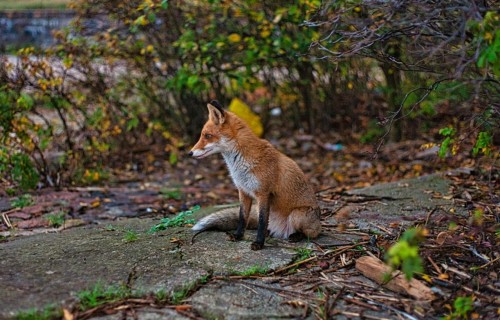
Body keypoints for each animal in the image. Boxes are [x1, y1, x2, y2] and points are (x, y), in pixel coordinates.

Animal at [188, 100, 320, 250]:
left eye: (207, 136)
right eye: (203, 135)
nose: (189, 153)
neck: (240, 164)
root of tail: (281, 232)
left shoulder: (263, 193)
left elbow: (262, 222)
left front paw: (259, 243)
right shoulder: (243, 191)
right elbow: (242, 217)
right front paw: (238, 236)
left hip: (297, 215)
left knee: (310, 233)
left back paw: (296, 236)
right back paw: (270, 233)